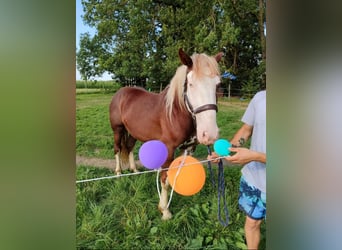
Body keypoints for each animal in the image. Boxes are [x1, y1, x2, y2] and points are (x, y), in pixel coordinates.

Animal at [108, 47, 223, 220]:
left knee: (129, 148)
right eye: (190, 84)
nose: (209, 134)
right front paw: (165, 210)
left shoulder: (188, 149)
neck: (176, 112)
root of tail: (121, 92)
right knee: (117, 149)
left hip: (133, 133)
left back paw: (134, 170)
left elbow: (175, 174)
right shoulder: (168, 150)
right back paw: (118, 173)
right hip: (118, 130)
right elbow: (165, 179)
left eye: (217, 84)